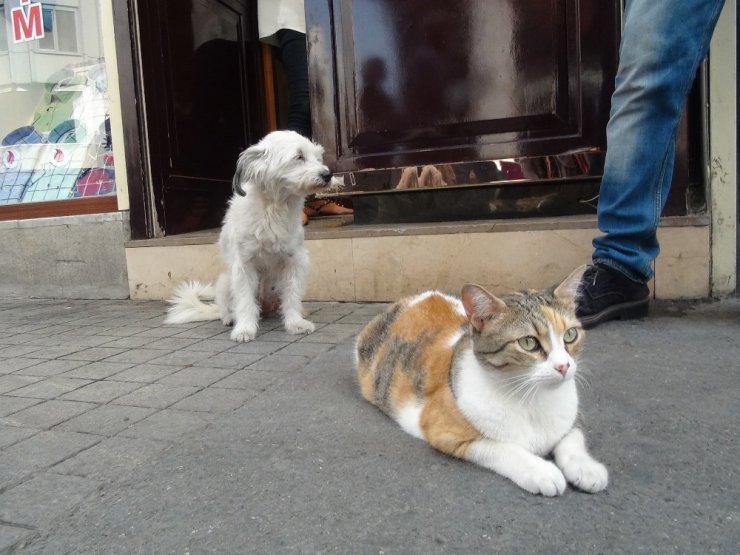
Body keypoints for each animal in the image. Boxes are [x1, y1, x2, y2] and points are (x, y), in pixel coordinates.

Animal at [166, 131, 334, 338]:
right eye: (299, 156)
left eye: (318, 157)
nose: (328, 175)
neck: (273, 208)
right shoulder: (244, 266)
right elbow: (245, 301)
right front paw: (245, 329)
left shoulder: (295, 261)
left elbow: (292, 296)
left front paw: (296, 323)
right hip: (225, 282)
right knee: (228, 307)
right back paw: (230, 318)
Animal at [356, 268, 608, 498]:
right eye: (528, 342)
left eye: (570, 335)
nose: (564, 366)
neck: (532, 397)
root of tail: (414, 298)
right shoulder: (445, 431)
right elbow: (503, 448)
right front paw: (541, 471)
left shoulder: (572, 416)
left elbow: (573, 439)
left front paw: (586, 468)